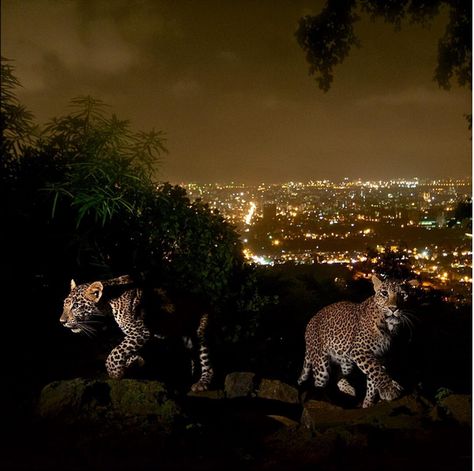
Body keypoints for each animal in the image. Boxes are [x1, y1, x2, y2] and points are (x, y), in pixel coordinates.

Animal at [59, 274, 213, 392]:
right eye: (64, 304)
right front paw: (134, 361)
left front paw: (116, 373)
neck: (108, 303)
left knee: (207, 362)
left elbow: (116, 352)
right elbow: (128, 350)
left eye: (75, 306)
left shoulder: (140, 331)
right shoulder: (144, 334)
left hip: (202, 334)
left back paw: (201, 383)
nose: (62, 321)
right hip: (185, 339)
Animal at [300, 276, 412, 410]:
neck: (389, 327)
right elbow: (376, 371)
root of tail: (310, 321)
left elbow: (374, 378)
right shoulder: (360, 350)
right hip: (321, 365)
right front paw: (389, 389)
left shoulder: (380, 357)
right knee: (319, 383)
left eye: (403, 295)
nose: (393, 308)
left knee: (339, 375)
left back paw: (348, 389)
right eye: (384, 293)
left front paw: (368, 403)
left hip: (345, 361)